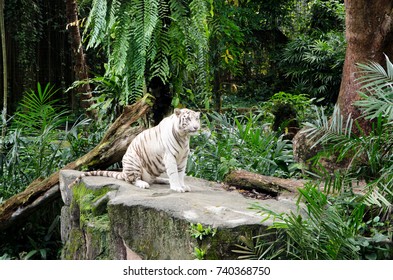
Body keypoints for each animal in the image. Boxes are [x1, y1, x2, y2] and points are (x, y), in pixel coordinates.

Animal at [68, 109, 199, 192]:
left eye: (197, 119)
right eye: (187, 119)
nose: (196, 127)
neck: (184, 137)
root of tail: (123, 172)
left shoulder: (183, 158)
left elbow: (180, 173)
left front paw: (183, 186)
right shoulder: (170, 157)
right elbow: (174, 173)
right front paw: (177, 187)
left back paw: (164, 180)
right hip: (133, 161)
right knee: (132, 180)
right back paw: (143, 184)